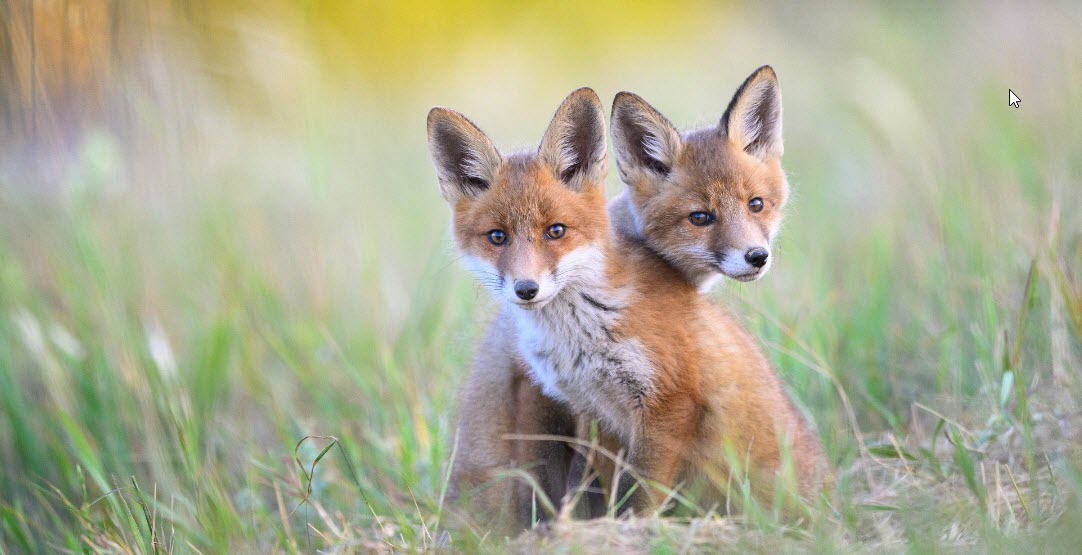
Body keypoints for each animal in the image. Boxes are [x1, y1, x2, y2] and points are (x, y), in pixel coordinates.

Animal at [429, 68, 825, 531]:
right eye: (497, 237)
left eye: (756, 205)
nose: (526, 289)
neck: (582, 328)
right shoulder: (581, 407)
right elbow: (601, 490)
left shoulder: (663, 405)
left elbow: (637, 496)